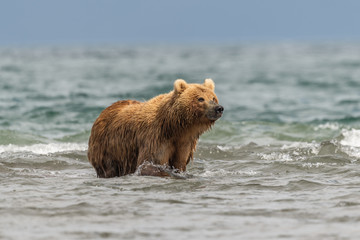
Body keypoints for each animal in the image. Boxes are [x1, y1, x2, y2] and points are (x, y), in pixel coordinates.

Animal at [87, 78, 222, 177]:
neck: (175, 127)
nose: (218, 108)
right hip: (108, 148)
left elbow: (180, 163)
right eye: (200, 99)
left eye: (213, 98)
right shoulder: (156, 137)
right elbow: (151, 163)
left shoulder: (184, 142)